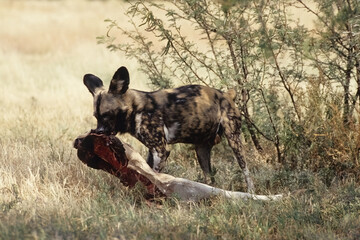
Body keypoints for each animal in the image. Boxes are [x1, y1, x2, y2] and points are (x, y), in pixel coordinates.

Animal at [83, 66, 255, 192]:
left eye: (107, 115)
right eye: (96, 116)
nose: (98, 132)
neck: (136, 109)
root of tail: (226, 94)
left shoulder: (161, 150)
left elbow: (155, 176)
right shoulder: (152, 150)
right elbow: (146, 173)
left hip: (234, 140)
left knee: (246, 170)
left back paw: (251, 192)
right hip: (201, 150)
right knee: (209, 178)